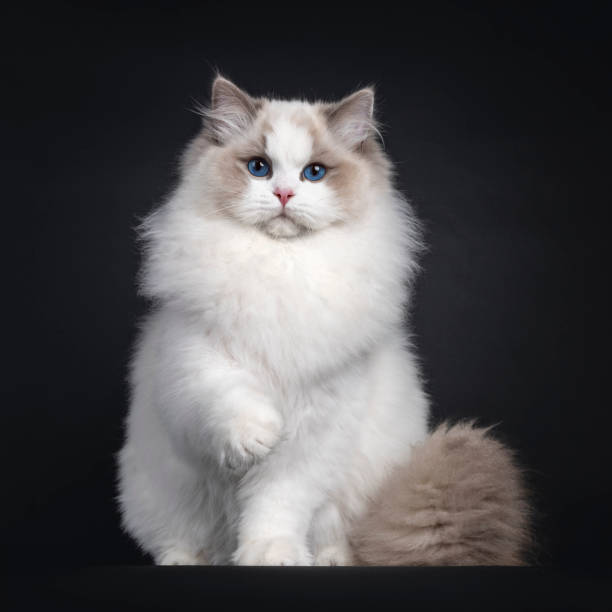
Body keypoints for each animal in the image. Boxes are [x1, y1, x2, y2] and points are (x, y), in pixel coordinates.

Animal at [116, 77, 430, 568]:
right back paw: (186, 560)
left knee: (335, 535)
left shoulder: (319, 426)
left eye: (314, 173)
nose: (283, 195)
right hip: (161, 490)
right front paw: (258, 438)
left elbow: (278, 503)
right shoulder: (195, 363)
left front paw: (272, 554)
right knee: (181, 539)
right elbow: (230, 398)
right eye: (259, 168)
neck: (281, 266)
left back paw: (328, 559)